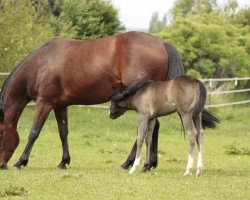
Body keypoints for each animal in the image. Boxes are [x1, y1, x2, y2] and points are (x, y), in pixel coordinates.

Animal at [0, 32, 185, 170]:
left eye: (1, 134)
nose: (1, 165)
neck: (42, 63)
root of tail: (162, 43)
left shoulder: (44, 102)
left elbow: (34, 132)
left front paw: (20, 162)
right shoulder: (60, 105)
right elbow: (63, 133)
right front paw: (63, 161)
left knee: (145, 128)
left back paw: (128, 162)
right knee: (153, 126)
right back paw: (149, 163)